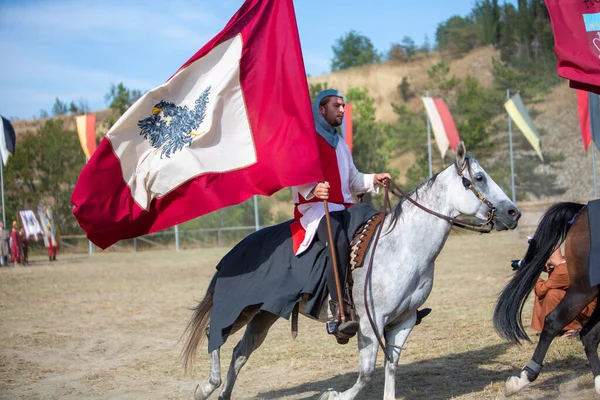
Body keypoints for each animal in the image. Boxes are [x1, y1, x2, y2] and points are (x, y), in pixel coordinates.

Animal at [180, 142, 516, 398]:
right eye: (480, 178)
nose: (513, 213)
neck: (403, 248)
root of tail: (238, 249)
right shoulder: (370, 322)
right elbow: (366, 372)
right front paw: (333, 395)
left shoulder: (403, 321)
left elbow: (391, 365)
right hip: (240, 307)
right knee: (214, 333)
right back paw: (206, 387)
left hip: (264, 314)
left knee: (240, 352)